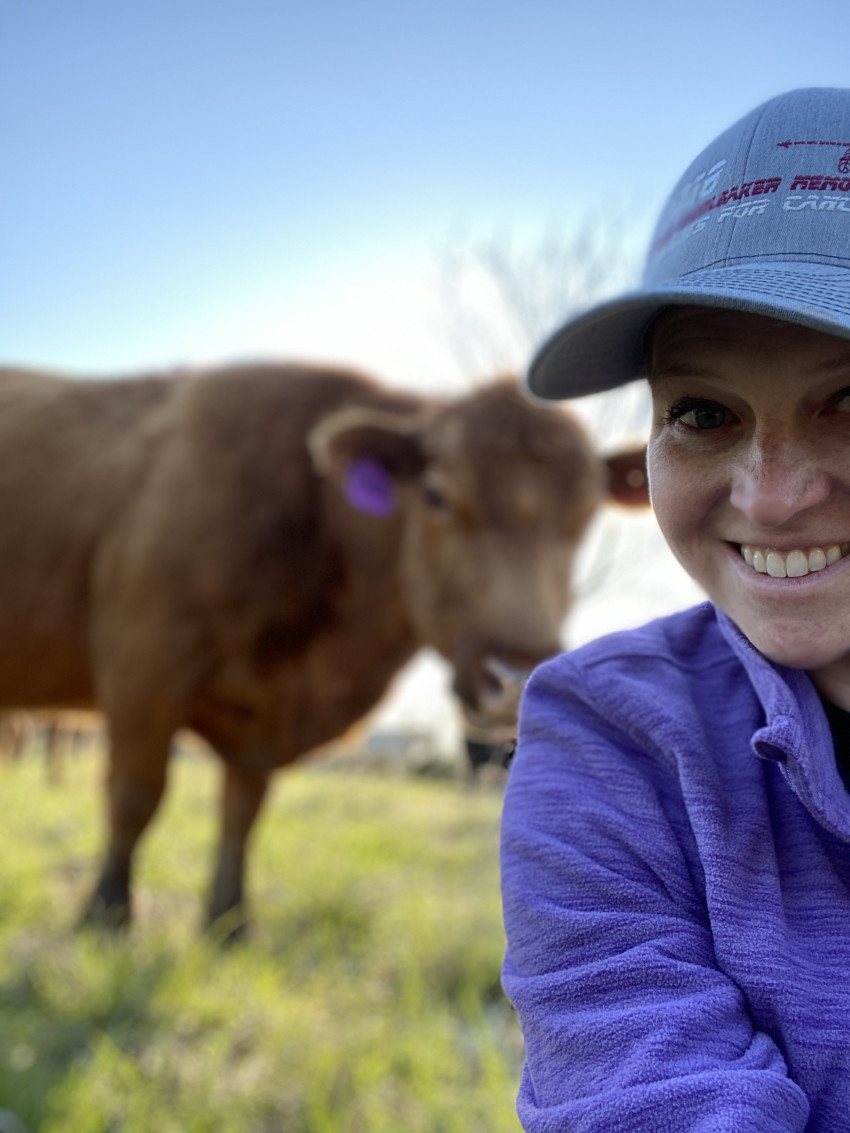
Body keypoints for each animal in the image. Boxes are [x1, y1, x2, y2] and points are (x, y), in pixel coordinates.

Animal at [0, 364, 643, 938]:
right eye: (436, 495)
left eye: (587, 515)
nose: (516, 676)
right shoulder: (144, 670)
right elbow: (135, 795)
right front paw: (105, 917)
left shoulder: (260, 717)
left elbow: (243, 809)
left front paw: (229, 925)